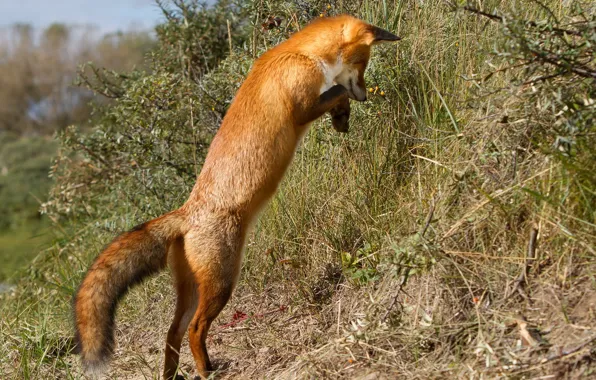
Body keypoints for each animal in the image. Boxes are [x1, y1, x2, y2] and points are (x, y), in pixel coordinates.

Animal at [74, 14, 400, 380]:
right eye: (363, 63)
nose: (365, 97)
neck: (300, 54)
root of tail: (186, 212)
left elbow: (337, 95)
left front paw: (341, 119)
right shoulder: (301, 109)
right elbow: (337, 90)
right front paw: (343, 109)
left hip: (193, 290)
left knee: (172, 333)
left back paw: (173, 374)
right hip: (222, 282)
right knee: (194, 329)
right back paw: (206, 370)